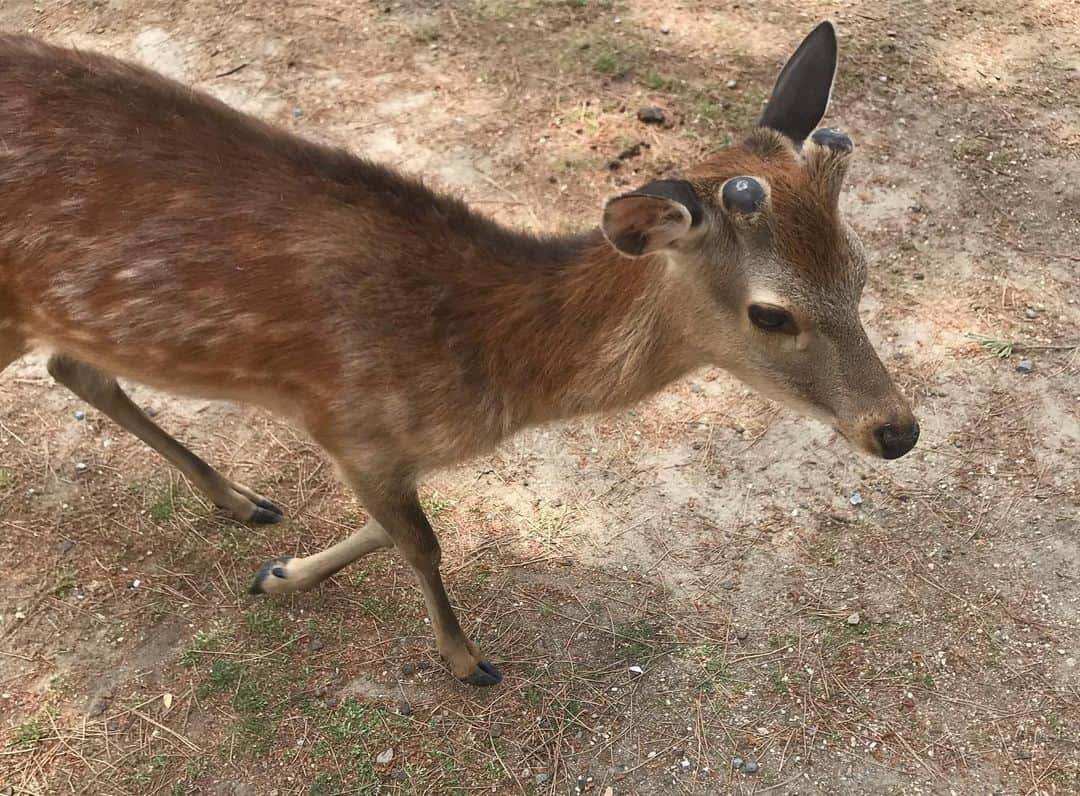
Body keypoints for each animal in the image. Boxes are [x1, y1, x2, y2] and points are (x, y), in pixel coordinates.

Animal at [0, 21, 920, 686]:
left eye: (862, 269)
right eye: (771, 313)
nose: (898, 430)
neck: (490, 365)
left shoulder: (380, 451)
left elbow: (385, 530)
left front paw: (281, 574)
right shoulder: (352, 421)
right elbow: (420, 542)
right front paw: (468, 660)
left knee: (74, 366)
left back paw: (241, 498)